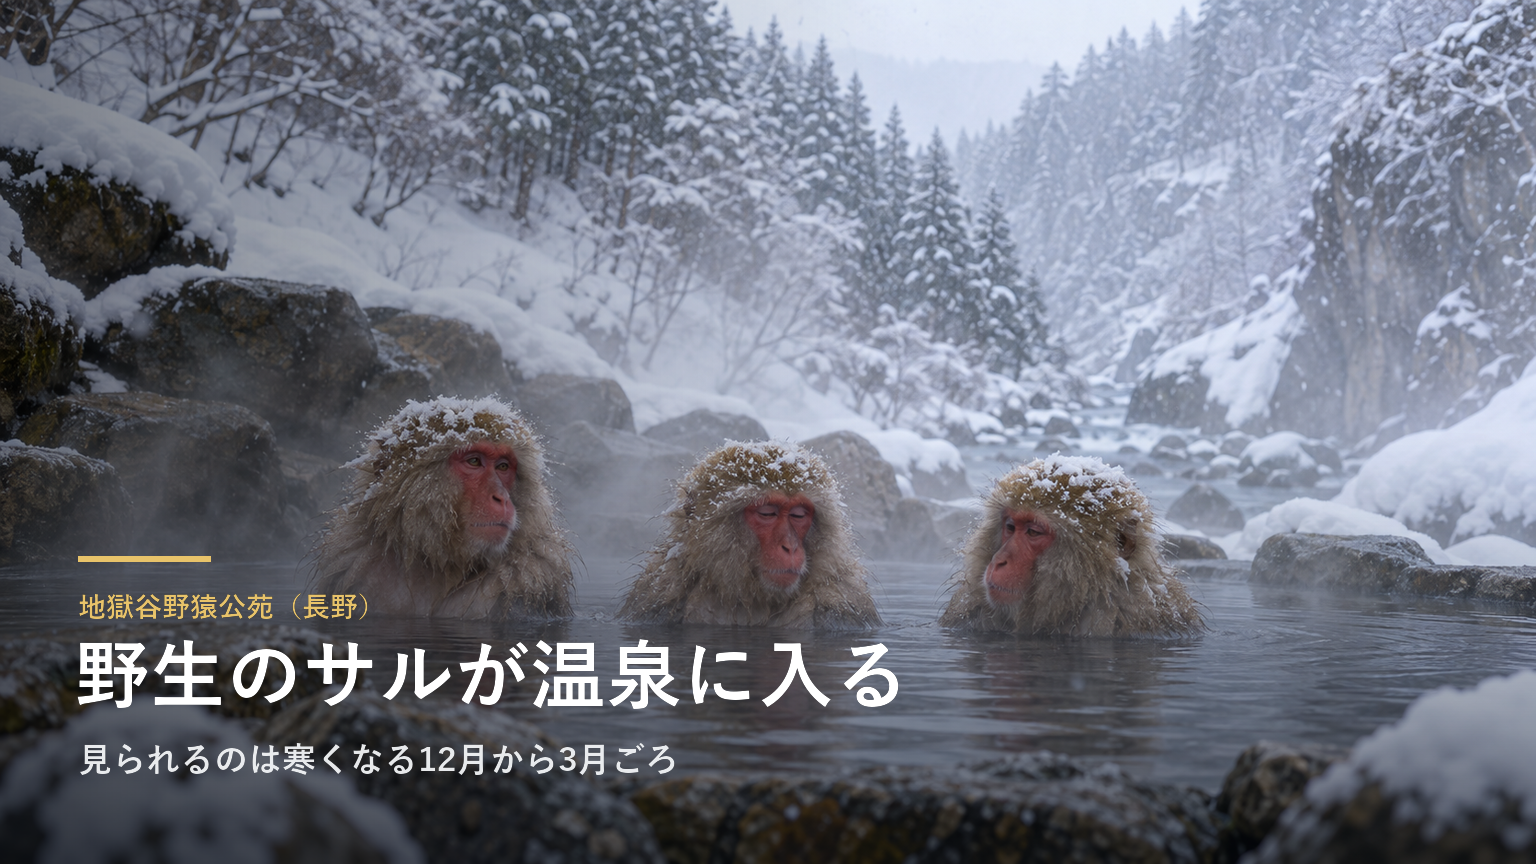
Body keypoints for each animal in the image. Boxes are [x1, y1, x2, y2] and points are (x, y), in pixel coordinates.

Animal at [619, 441, 881, 628]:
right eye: (767, 513)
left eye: (798, 515)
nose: (790, 546)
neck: (755, 600)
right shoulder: (660, 588)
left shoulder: (841, 600)